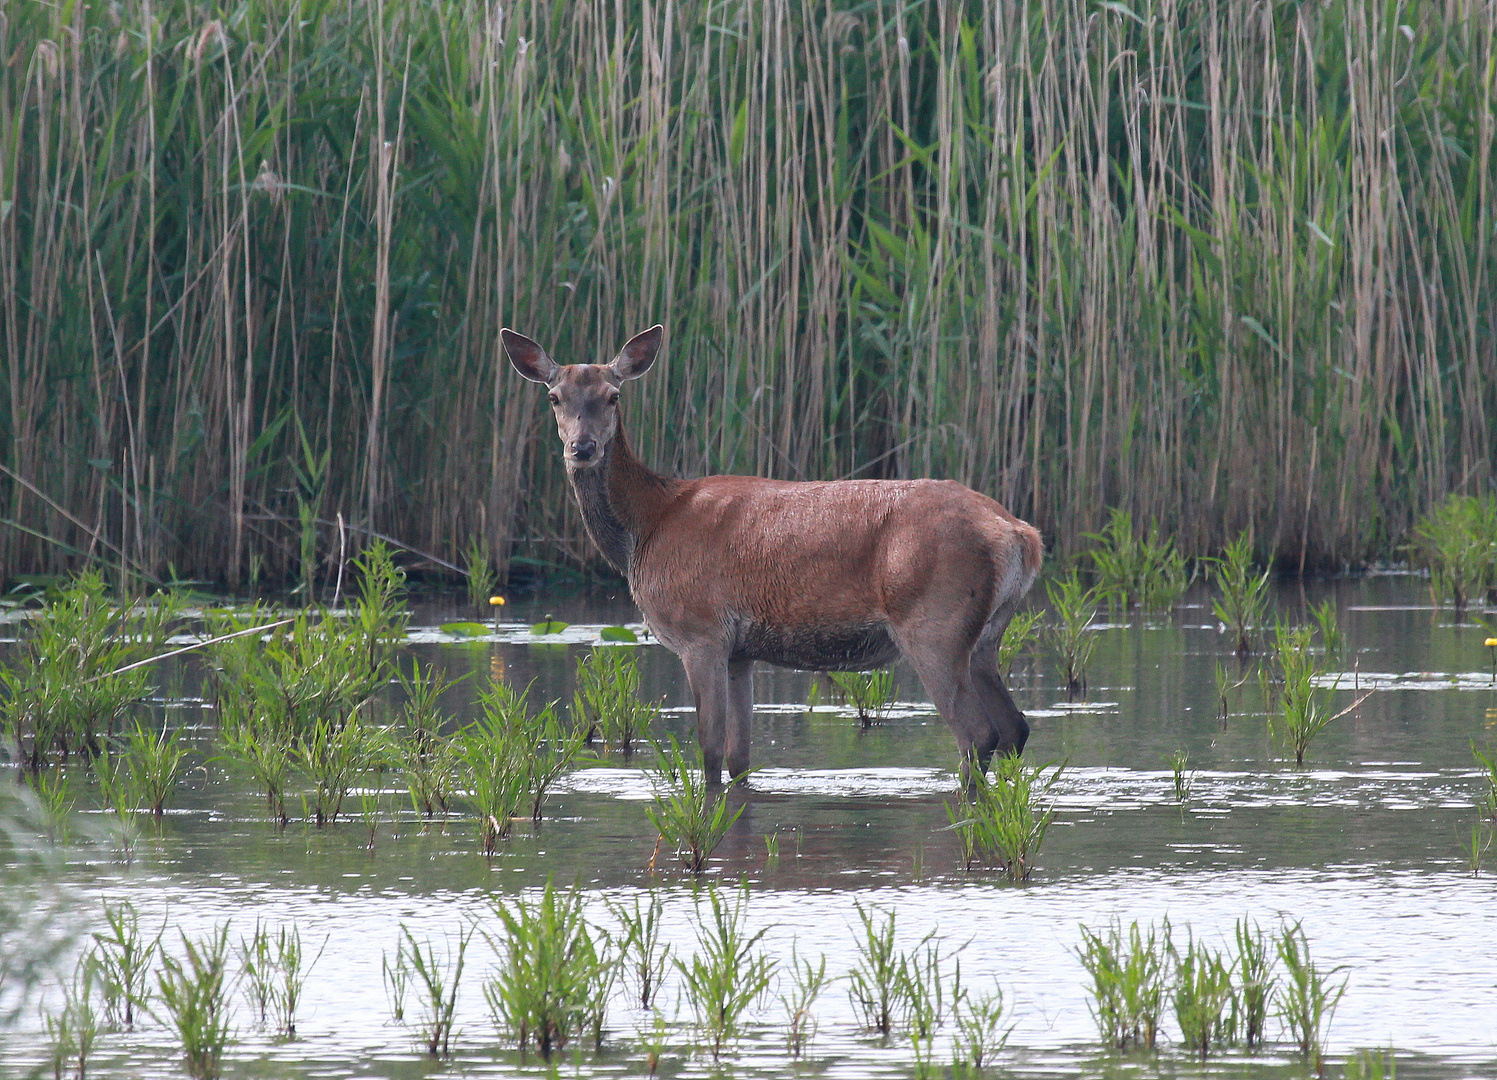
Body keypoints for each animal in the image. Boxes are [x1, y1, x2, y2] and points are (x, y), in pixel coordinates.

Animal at [505, 320, 1041, 784]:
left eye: (613, 396)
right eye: (554, 397)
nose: (582, 448)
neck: (648, 526)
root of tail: (1020, 535)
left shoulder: (700, 632)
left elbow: (710, 753)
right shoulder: (741, 651)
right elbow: (740, 758)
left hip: (933, 621)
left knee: (977, 733)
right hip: (986, 635)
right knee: (1015, 727)